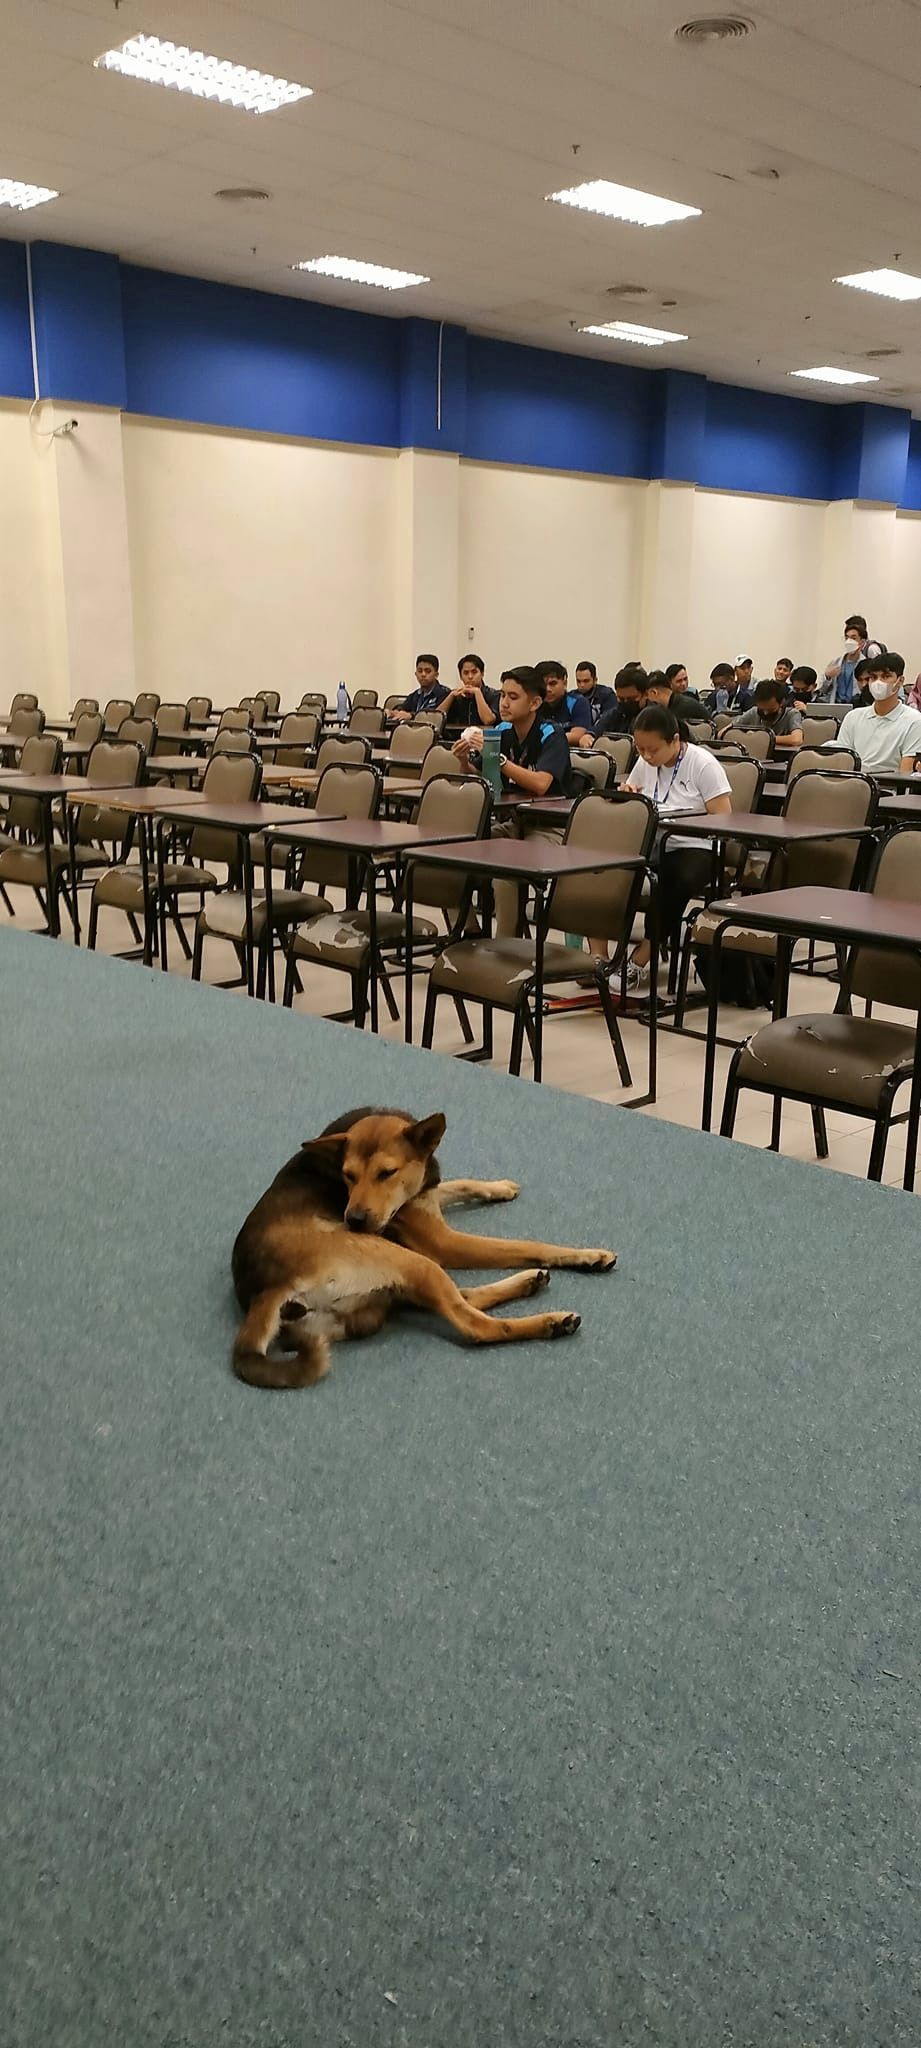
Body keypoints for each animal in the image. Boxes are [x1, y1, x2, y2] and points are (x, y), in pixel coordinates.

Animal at [234, 1114, 614, 1384]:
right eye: (347, 1176)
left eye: (386, 1173)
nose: (353, 1219)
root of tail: (266, 1289)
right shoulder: (442, 1242)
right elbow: (527, 1243)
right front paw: (586, 1254)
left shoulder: (426, 1197)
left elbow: (460, 1184)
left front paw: (500, 1187)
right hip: (408, 1261)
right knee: (476, 1324)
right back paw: (551, 1322)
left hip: (384, 1291)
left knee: (461, 1297)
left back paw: (529, 1283)